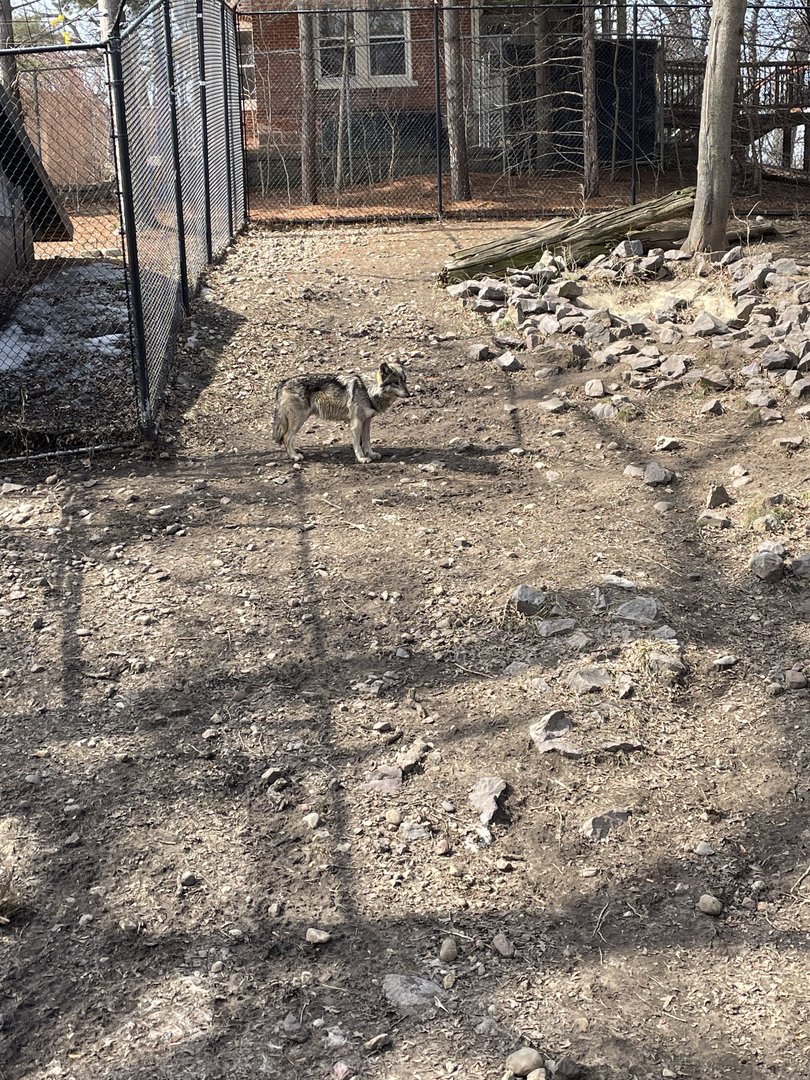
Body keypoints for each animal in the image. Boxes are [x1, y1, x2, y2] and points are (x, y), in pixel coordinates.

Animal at [271, 361, 410, 463]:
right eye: (396, 383)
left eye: (404, 380)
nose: (409, 394)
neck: (368, 389)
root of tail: (283, 382)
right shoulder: (356, 423)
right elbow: (357, 445)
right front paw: (361, 458)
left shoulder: (366, 421)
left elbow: (366, 441)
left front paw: (371, 454)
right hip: (299, 420)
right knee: (287, 437)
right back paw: (294, 456)